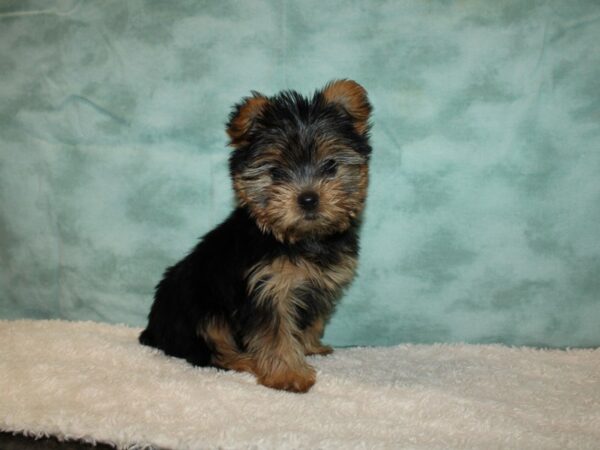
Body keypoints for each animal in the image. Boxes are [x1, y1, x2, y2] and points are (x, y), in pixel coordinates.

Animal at [139, 79, 370, 392]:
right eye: (276, 172)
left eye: (330, 165)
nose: (308, 199)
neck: (298, 238)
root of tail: (153, 330)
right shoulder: (267, 291)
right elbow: (275, 335)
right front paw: (289, 375)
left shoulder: (318, 286)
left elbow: (312, 321)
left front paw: (310, 346)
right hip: (197, 307)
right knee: (208, 348)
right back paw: (242, 360)